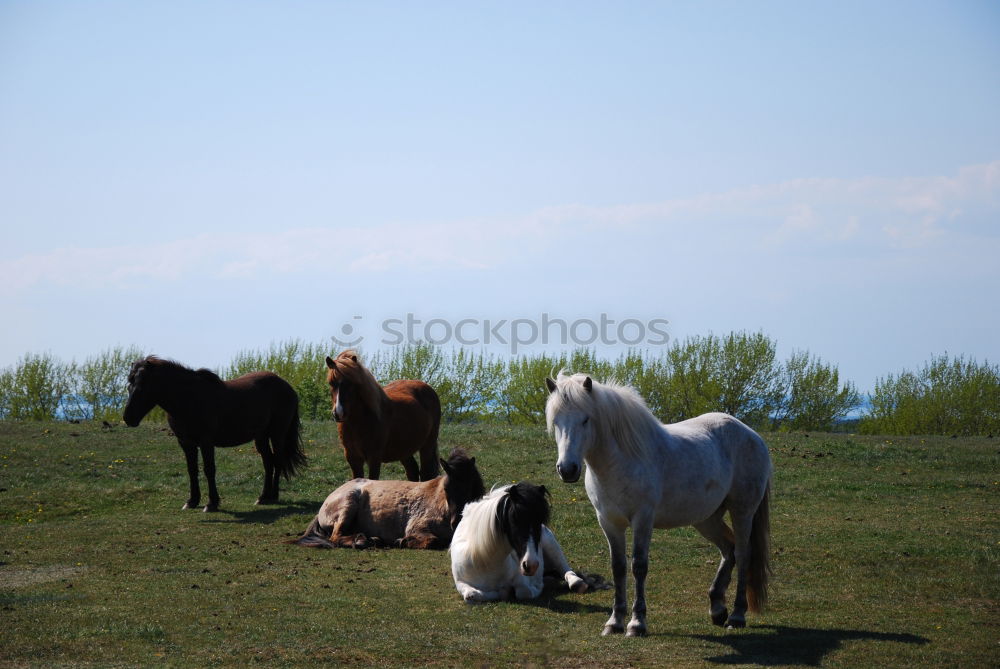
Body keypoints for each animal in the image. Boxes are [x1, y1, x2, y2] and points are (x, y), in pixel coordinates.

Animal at [120, 358, 304, 508]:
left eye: (143, 387)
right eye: (129, 384)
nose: (128, 418)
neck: (189, 399)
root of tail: (287, 386)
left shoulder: (206, 442)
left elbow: (209, 470)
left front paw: (212, 503)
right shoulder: (186, 442)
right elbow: (192, 469)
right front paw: (192, 501)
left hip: (277, 434)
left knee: (277, 461)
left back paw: (274, 496)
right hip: (261, 437)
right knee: (268, 462)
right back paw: (263, 497)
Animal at [288, 448, 482, 548]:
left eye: (471, 488)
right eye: (447, 489)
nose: (455, 522)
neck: (441, 504)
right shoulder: (418, 527)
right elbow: (432, 541)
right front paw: (402, 541)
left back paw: (371, 539)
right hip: (348, 504)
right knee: (335, 537)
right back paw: (361, 541)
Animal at [326, 350, 440, 480]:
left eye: (350, 384)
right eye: (331, 383)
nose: (338, 413)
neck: (359, 422)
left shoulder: (374, 458)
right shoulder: (353, 458)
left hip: (428, 445)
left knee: (426, 473)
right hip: (404, 449)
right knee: (412, 470)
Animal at [448, 480, 592, 600]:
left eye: (540, 521)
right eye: (514, 518)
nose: (531, 565)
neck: (485, 561)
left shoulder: (522, 580)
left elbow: (524, 592)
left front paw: (537, 586)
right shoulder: (461, 583)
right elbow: (472, 595)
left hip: (551, 545)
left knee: (565, 568)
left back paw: (576, 583)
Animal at [548, 374, 772, 636]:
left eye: (585, 419)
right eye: (555, 421)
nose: (567, 469)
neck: (622, 460)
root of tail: (752, 435)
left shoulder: (643, 519)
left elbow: (639, 566)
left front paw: (637, 624)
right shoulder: (609, 522)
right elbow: (618, 567)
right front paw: (614, 622)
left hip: (742, 511)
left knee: (743, 553)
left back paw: (736, 616)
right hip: (707, 519)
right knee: (728, 549)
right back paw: (717, 609)